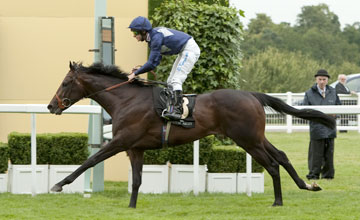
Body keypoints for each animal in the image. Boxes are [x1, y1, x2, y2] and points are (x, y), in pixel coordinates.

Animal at [47, 62, 334, 208]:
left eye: (65, 82)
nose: (51, 106)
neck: (125, 100)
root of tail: (252, 95)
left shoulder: (121, 141)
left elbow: (90, 160)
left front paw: (59, 184)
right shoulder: (135, 147)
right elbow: (137, 180)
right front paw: (131, 207)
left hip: (247, 140)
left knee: (273, 164)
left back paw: (278, 201)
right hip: (256, 137)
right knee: (282, 156)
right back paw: (307, 184)